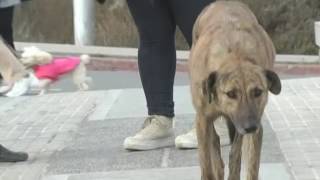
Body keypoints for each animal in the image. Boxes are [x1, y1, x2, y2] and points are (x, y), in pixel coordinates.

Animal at [189, 1, 282, 180]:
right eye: (231, 93)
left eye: (257, 92)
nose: (250, 126)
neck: (235, 55)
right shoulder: (202, 119)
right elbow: (207, 165)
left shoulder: (253, 129)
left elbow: (245, 162)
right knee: (215, 142)